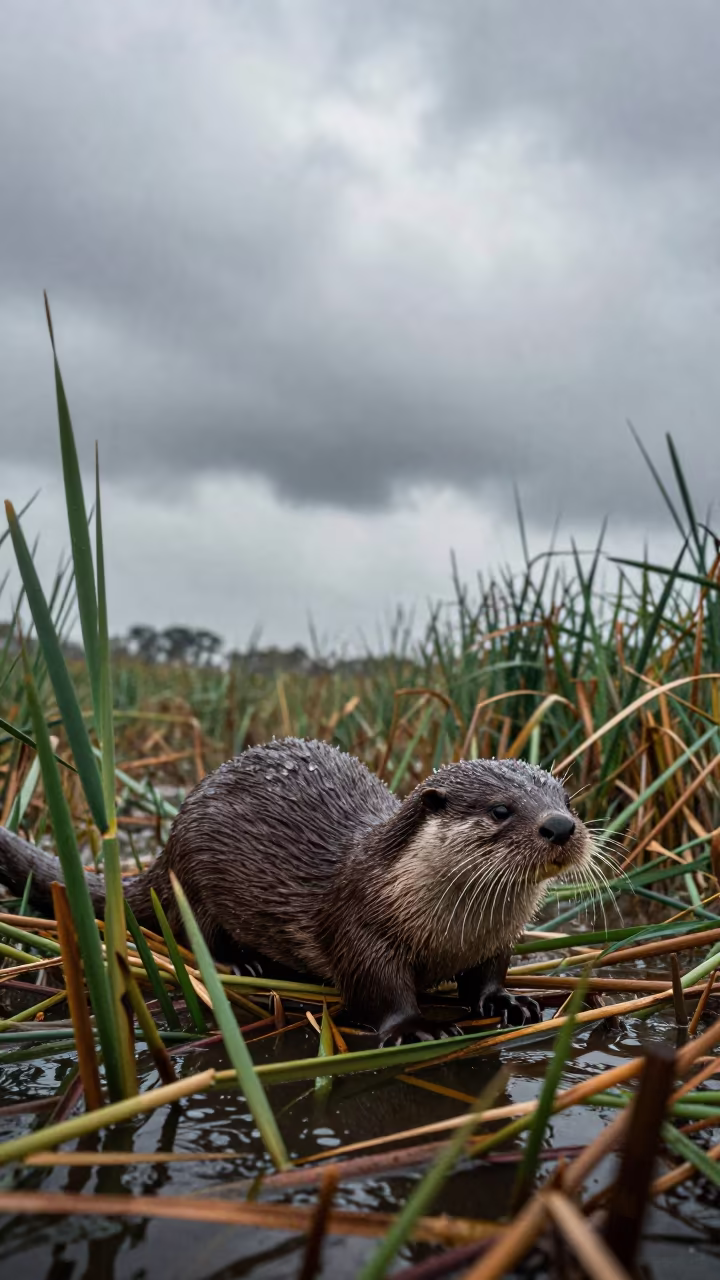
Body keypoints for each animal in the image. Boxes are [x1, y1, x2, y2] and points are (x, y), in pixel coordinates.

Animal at [0, 738, 592, 1044]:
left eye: (566, 800)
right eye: (500, 810)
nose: (561, 826)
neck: (451, 933)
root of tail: (167, 844)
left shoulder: (496, 939)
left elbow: (489, 974)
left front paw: (508, 1001)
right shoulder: (360, 925)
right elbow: (377, 989)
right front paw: (415, 1027)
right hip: (194, 877)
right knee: (199, 933)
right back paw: (242, 964)